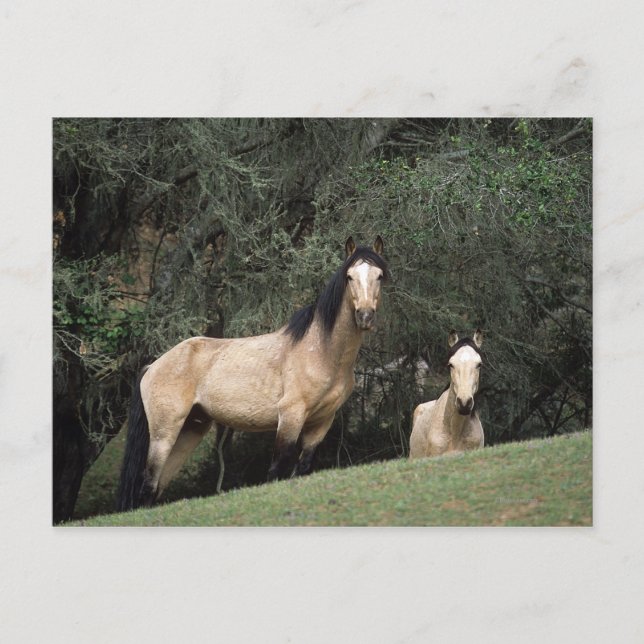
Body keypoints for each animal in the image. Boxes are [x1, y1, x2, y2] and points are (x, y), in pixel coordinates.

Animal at [117, 236, 389, 511]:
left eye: (379, 275)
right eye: (350, 276)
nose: (365, 316)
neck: (322, 351)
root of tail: (153, 366)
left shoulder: (321, 423)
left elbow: (302, 469)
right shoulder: (290, 416)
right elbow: (276, 471)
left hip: (189, 431)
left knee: (156, 488)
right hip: (164, 433)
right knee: (148, 484)